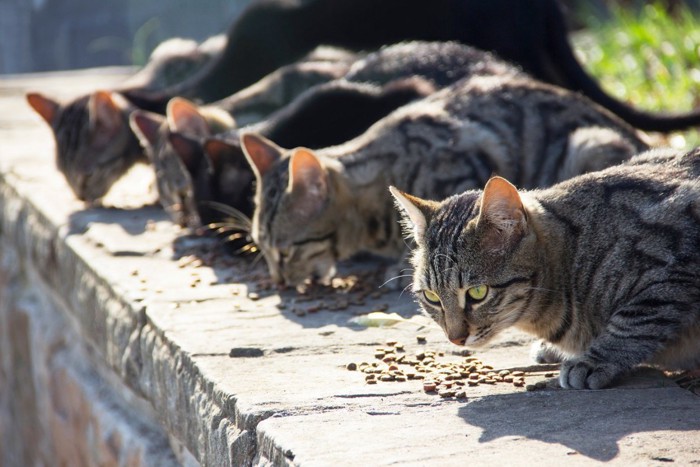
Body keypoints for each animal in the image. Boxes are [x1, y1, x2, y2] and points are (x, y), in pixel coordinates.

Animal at [388, 148, 700, 390]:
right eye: (432, 297)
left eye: (478, 293)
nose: (455, 338)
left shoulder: (675, 268)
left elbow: (633, 322)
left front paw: (593, 360)